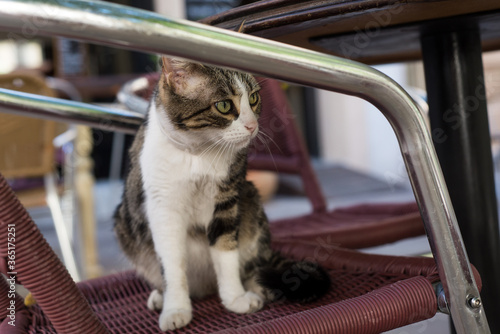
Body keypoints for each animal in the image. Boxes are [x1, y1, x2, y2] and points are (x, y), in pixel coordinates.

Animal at [114, 57, 330, 332]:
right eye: (224, 105)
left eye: (254, 98)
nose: (252, 126)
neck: (198, 153)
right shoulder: (163, 207)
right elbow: (172, 264)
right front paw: (175, 309)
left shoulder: (227, 199)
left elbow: (226, 252)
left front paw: (235, 299)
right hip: (125, 223)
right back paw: (160, 297)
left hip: (252, 202)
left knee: (254, 264)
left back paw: (258, 286)